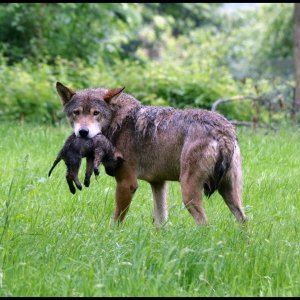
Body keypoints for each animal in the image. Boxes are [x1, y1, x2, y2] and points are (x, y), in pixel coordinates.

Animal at [55, 81, 246, 226]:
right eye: (76, 113)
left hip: (189, 194)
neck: (121, 122)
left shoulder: (127, 184)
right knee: (244, 222)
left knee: (205, 225)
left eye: (96, 113)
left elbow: (116, 221)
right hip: (230, 194)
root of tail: (223, 131)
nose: (83, 132)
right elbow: (161, 222)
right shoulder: (158, 184)